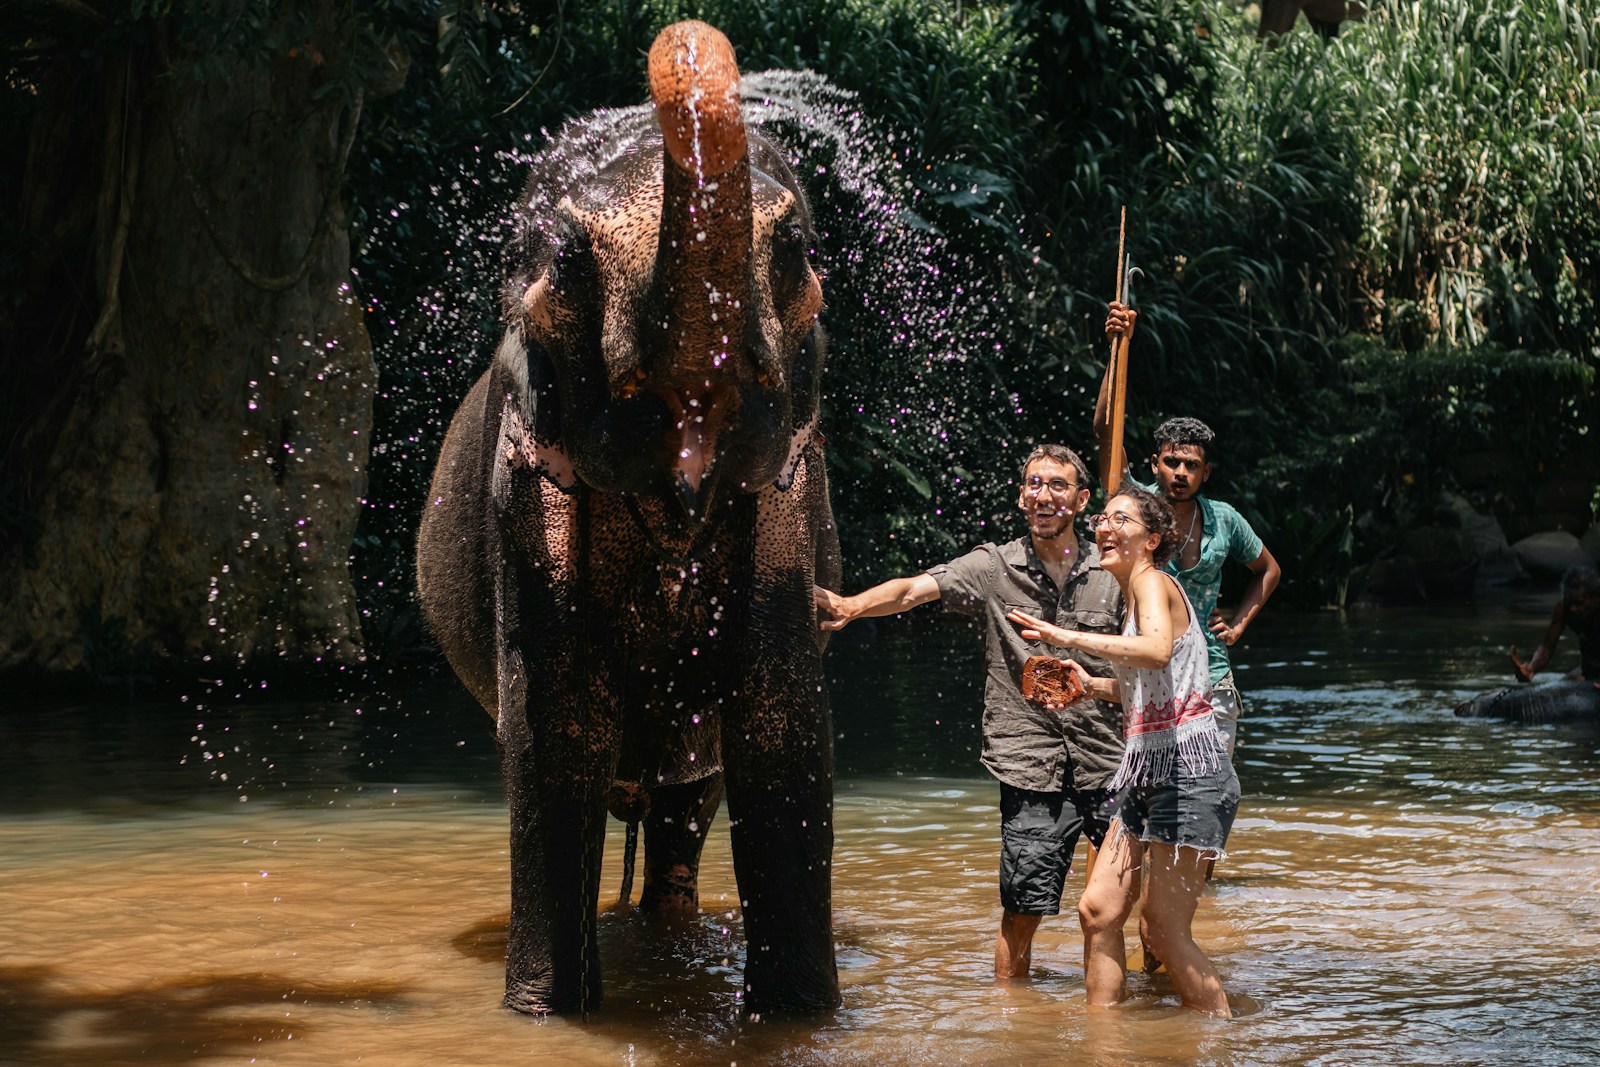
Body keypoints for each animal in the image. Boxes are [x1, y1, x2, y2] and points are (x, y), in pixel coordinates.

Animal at [415, 20, 842, 1016]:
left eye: (796, 247)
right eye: (569, 259)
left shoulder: (788, 487)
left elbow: (782, 728)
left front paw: (799, 1019)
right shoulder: (526, 479)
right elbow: (556, 731)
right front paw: (545, 1015)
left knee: (690, 798)